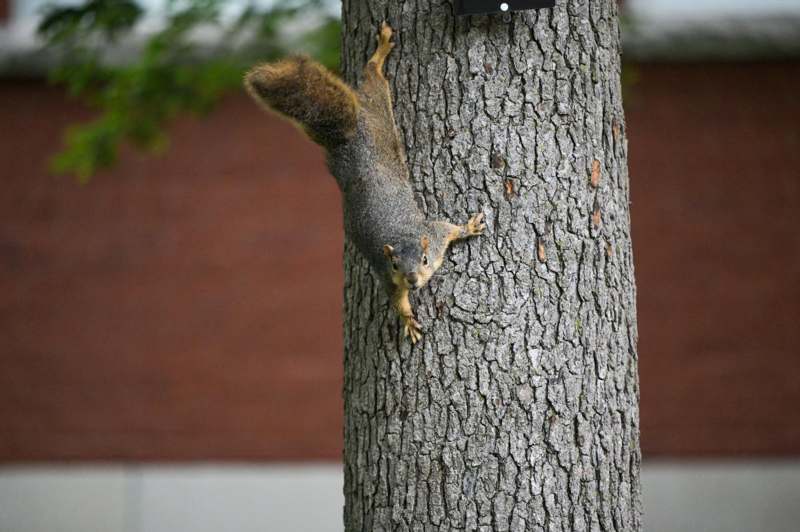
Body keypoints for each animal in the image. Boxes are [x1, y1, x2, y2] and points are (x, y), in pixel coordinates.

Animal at [244, 23, 484, 343]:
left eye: (424, 259)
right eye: (395, 265)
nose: (412, 280)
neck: (403, 238)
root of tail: (348, 140)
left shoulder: (434, 235)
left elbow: (450, 228)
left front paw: (469, 227)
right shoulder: (386, 276)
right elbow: (397, 300)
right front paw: (408, 320)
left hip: (378, 112)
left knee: (372, 79)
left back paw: (379, 54)